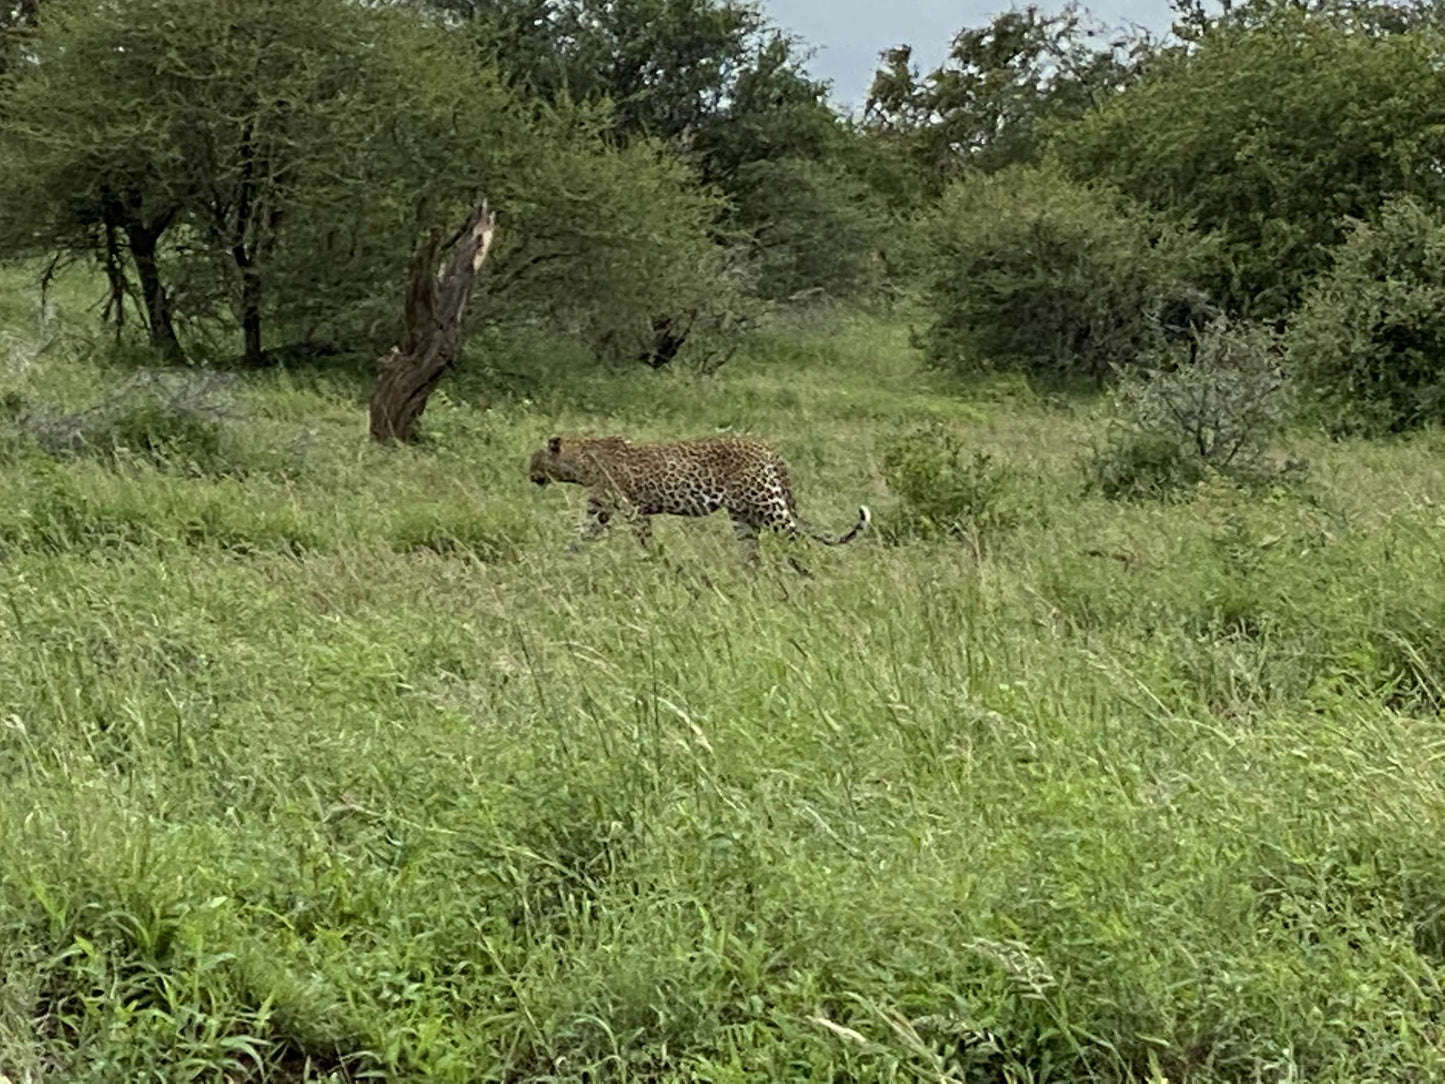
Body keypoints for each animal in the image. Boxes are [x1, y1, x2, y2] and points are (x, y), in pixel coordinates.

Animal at [531, 436, 867, 563]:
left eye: (534, 459)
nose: (530, 476)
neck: (582, 462)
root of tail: (765, 445)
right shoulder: (598, 510)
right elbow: (580, 536)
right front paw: (560, 562)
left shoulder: (632, 509)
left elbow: (645, 541)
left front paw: (657, 565)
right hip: (742, 515)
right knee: (751, 552)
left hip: (767, 503)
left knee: (798, 539)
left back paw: (808, 578)